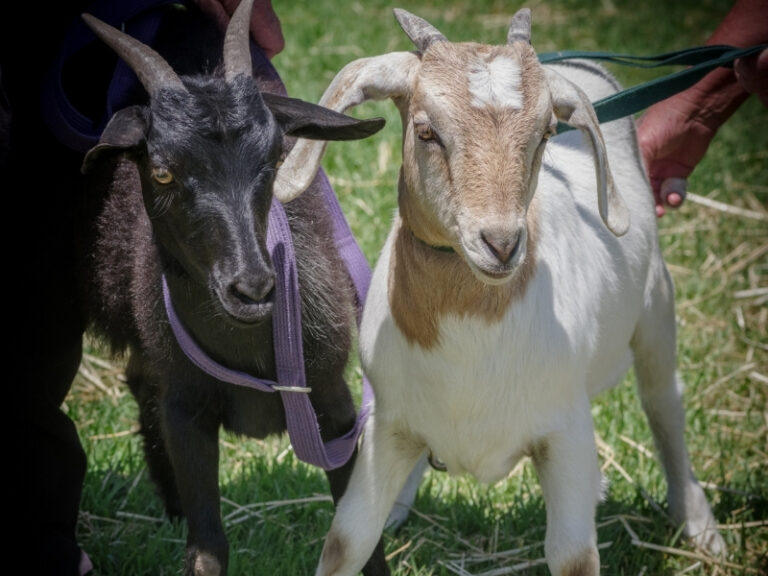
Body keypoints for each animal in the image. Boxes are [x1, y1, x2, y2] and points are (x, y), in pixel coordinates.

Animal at [79, 1, 389, 574]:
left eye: (275, 157)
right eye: (161, 172)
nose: (252, 287)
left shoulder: (334, 409)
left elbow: (360, 542)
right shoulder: (184, 412)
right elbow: (207, 548)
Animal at [274, 8, 726, 576]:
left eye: (547, 132)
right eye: (426, 130)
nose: (502, 243)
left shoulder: (567, 432)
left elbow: (574, 556)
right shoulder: (387, 425)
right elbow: (346, 541)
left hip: (656, 306)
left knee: (664, 402)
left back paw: (699, 525)